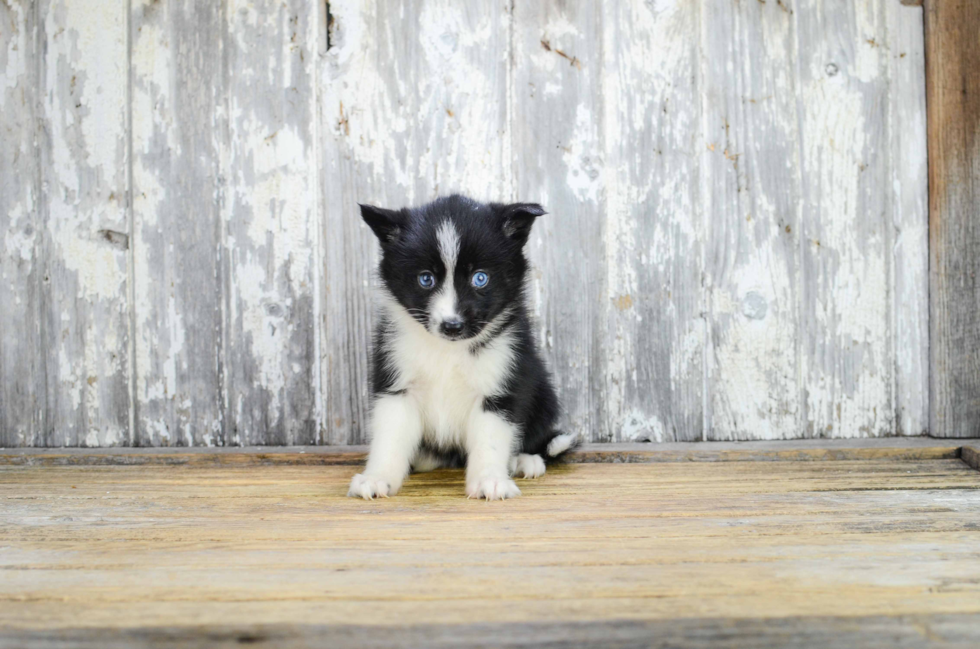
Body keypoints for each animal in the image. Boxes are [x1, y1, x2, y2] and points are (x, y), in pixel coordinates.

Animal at [348, 195, 580, 498]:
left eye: (480, 278)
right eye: (426, 279)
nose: (452, 326)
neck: (449, 350)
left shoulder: (501, 381)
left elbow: (491, 437)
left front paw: (490, 480)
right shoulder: (397, 381)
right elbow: (390, 434)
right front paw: (376, 478)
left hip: (543, 393)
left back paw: (524, 460)